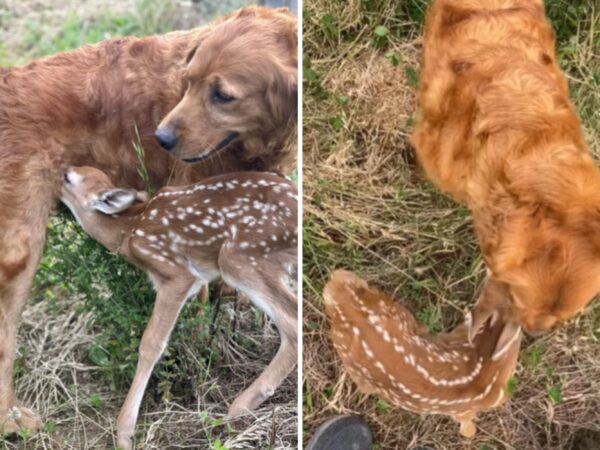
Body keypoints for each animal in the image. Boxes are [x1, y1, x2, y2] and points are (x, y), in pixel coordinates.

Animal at [0, 6, 298, 432]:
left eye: (223, 96)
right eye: (187, 80)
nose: (161, 139)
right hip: (20, 246)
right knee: (5, 339)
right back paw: (12, 419)